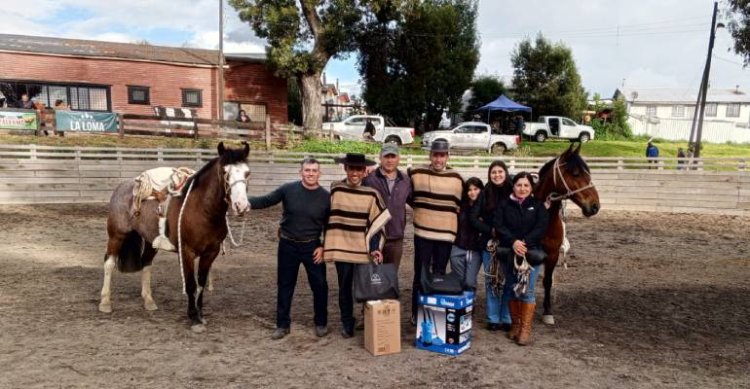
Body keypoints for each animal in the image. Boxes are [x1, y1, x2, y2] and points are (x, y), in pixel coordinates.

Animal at [98, 142, 253, 330]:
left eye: (247, 173)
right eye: (225, 172)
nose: (241, 206)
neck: (202, 209)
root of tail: (122, 187)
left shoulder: (211, 252)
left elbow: (201, 282)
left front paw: (200, 314)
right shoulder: (186, 251)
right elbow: (191, 284)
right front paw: (193, 318)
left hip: (150, 241)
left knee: (146, 263)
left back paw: (149, 300)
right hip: (117, 235)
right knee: (109, 263)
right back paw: (105, 302)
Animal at [536, 142, 604, 324]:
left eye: (588, 172)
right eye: (575, 173)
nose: (595, 206)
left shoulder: (552, 254)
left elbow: (547, 281)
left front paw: (548, 312)